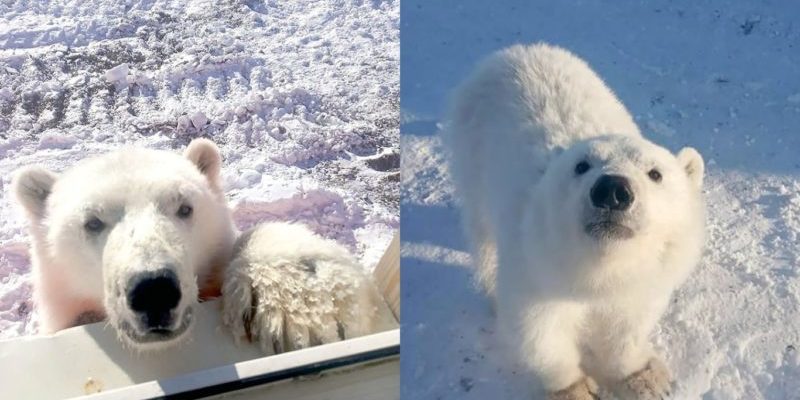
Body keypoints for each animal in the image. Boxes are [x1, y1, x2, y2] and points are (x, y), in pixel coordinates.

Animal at [444, 43, 708, 400]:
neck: (595, 270)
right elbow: (540, 333)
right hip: (473, 155)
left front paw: (645, 377)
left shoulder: (642, 279)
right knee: (482, 232)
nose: (612, 191)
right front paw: (574, 389)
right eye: (581, 166)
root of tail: (513, 51)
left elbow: (628, 326)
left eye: (655, 173)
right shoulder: (536, 270)